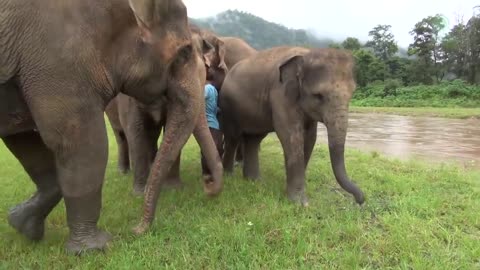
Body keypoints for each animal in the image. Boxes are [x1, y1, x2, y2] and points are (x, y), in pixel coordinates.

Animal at [0, 0, 221, 254]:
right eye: (184, 52)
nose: (208, 184)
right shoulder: (58, 60)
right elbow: (81, 141)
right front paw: (96, 247)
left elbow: (25, 140)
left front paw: (22, 224)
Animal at [219, 47, 366, 207]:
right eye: (318, 95)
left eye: (352, 93)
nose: (360, 200)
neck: (307, 53)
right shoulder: (280, 93)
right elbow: (291, 136)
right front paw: (300, 203)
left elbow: (310, 137)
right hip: (227, 107)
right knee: (233, 137)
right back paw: (229, 176)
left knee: (254, 139)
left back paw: (254, 181)